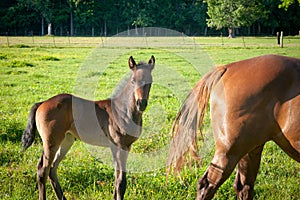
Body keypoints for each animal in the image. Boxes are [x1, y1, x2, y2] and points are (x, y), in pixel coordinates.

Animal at [21, 55, 155, 200]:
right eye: (132, 81)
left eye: (150, 81)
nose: (141, 104)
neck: (122, 110)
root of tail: (42, 103)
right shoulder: (119, 146)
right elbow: (121, 182)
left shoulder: (125, 147)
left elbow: (116, 178)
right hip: (51, 142)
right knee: (42, 170)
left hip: (66, 140)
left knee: (52, 169)